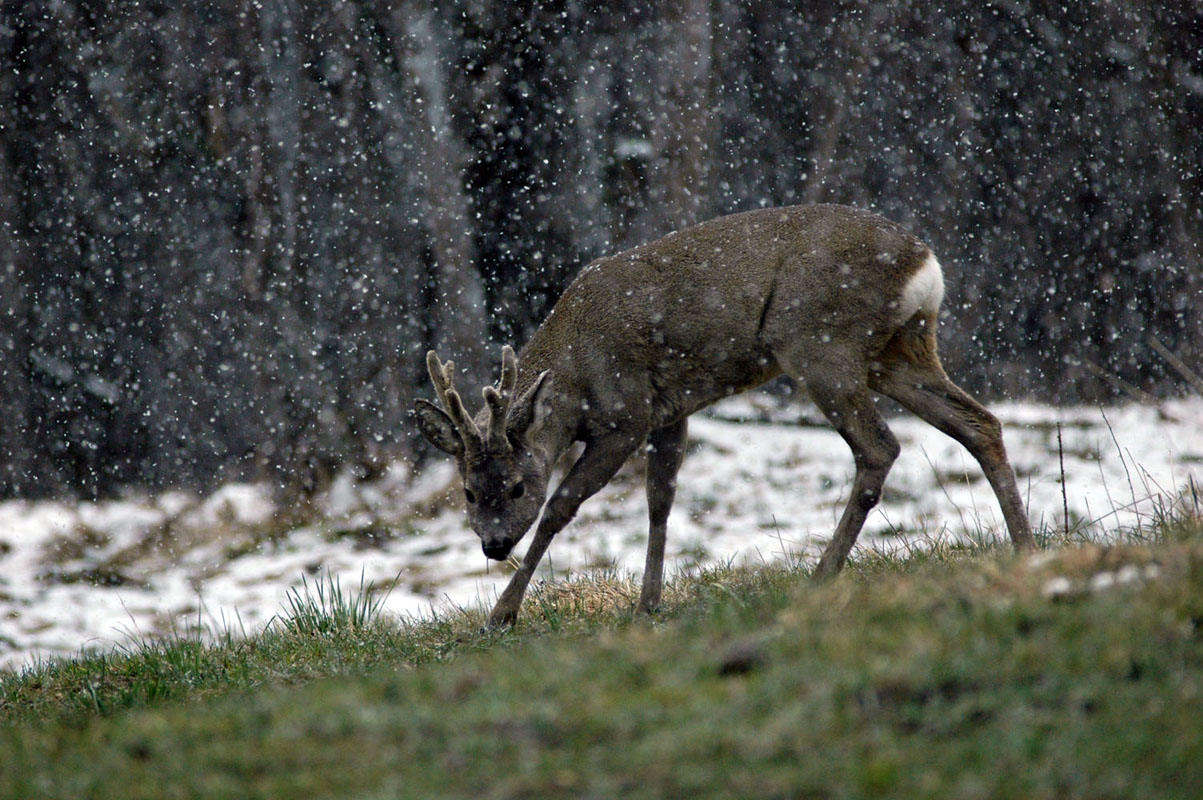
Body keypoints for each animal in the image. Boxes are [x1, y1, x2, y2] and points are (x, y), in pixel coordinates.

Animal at [413, 203, 1034, 625]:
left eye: (517, 487)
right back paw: (1025, 547)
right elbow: (660, 501)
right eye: (468, 491)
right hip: (897, 351)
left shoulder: (626, 414)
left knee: (880, 446)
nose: (493, 545)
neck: (576, 368)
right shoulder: (668, 412)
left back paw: (820, 576)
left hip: (818, 342)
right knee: (980, 423)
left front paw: (502, 614)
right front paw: (648, 604)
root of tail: (925, 266)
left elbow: (562, 505)